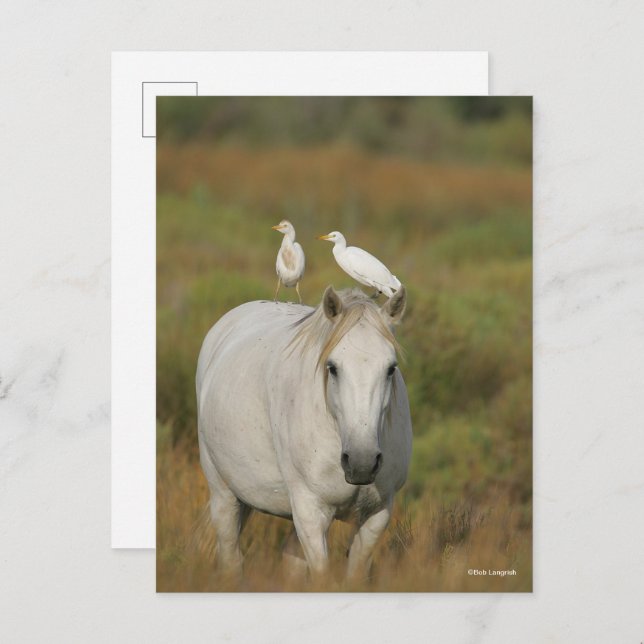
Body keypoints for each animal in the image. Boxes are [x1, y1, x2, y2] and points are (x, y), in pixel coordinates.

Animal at [196, 286, 412, 579]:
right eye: (332, 367)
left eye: (391, 368)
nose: (362, 463)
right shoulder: (310, 512)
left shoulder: (376, 515)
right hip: (224, 494)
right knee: (231, 558)